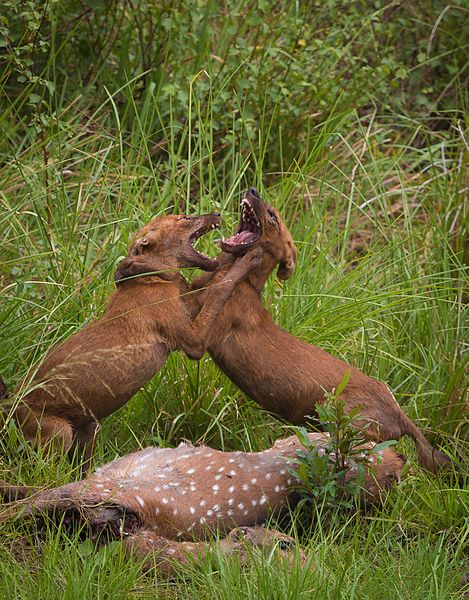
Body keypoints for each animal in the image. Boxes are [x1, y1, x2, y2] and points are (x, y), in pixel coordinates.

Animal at [2, 213, 260, 462]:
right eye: (185, 218)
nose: (216, 212)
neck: (153, 278)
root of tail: (8, 407)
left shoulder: (186, 305)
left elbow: (208, 283)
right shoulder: (192, 340)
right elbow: (220, 288)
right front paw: (247, 260)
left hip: (87, 429)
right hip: (58, 433)